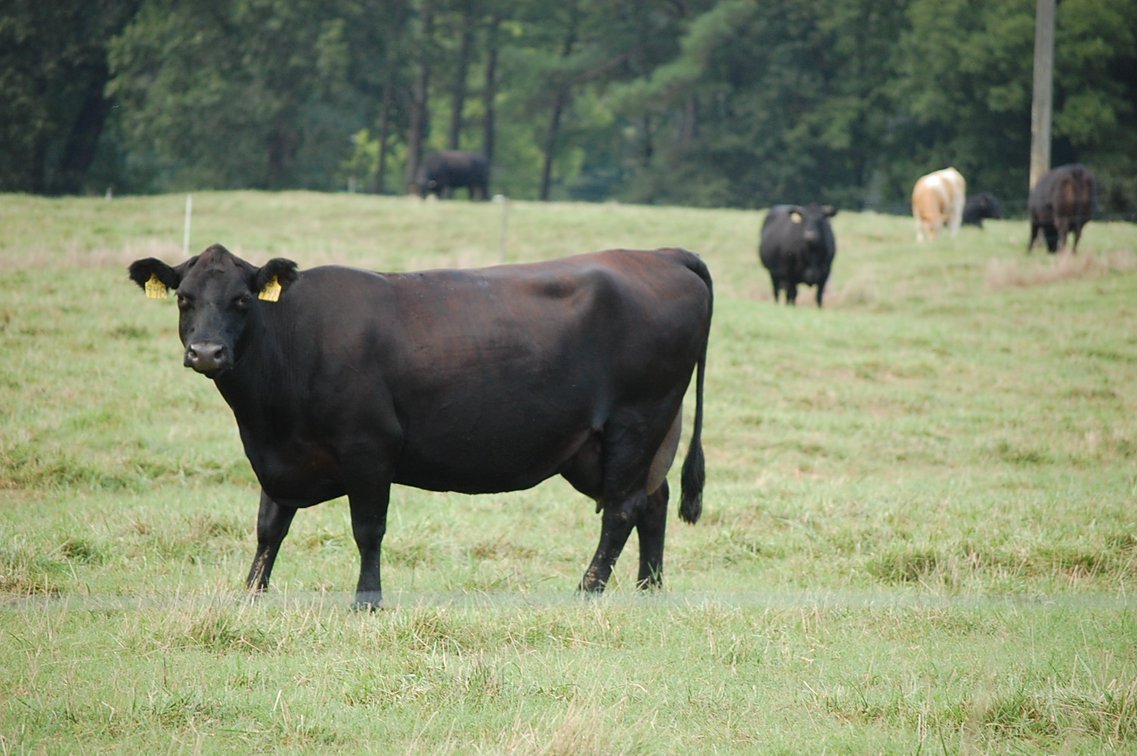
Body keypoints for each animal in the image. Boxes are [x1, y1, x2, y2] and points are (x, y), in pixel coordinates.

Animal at [128, 244, 712, 609]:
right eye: (184, 298)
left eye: (242, 299)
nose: (207, 352)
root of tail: (661, 256)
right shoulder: (280, 457)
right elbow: (270, 527)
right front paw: (251, 594)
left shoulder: (368, 448)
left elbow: (367, 529)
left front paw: (367, 602)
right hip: (607, 443)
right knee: (653, 501)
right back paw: (649, 590)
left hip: (636, 421)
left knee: (622, 509)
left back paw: (587, 591)